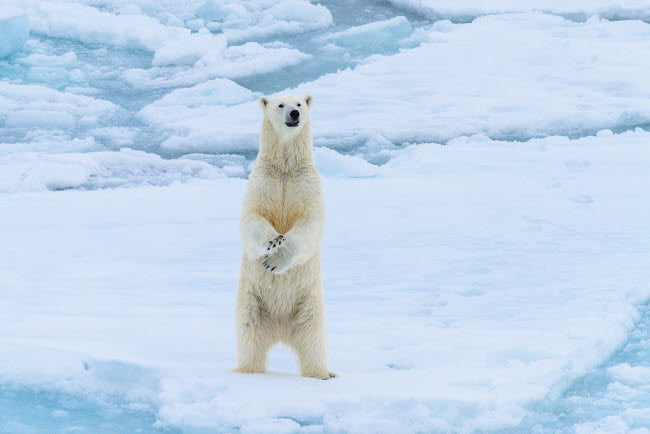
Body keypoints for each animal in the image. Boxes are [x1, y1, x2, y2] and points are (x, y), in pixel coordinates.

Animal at [235, 94, 336, 380]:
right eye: (280, 104)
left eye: (300, 104)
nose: (294, 114)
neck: (285, 169)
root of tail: (280, 330)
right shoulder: (262, 182)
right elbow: (252, 216)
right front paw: (272, 241)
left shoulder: (308, 185)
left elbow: (309, 224)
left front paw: (275, 259)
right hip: (252, 303)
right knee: (249, 337)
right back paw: (247, 371)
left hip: (308, 304)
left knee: (314, 339)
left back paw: (323, 373)